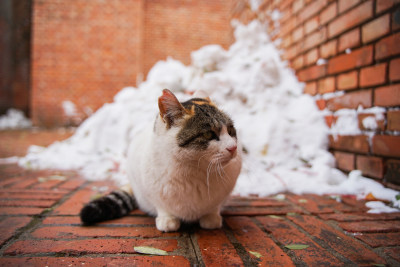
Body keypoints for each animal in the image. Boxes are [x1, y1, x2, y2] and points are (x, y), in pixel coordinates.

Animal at [78, 89, 241, 231]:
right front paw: (167, 220)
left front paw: (211, 218)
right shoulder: (151, 190)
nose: (233, 147)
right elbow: (162, 206)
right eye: (208, 134)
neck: (194, 169)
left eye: (230, 130)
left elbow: (214, 207)